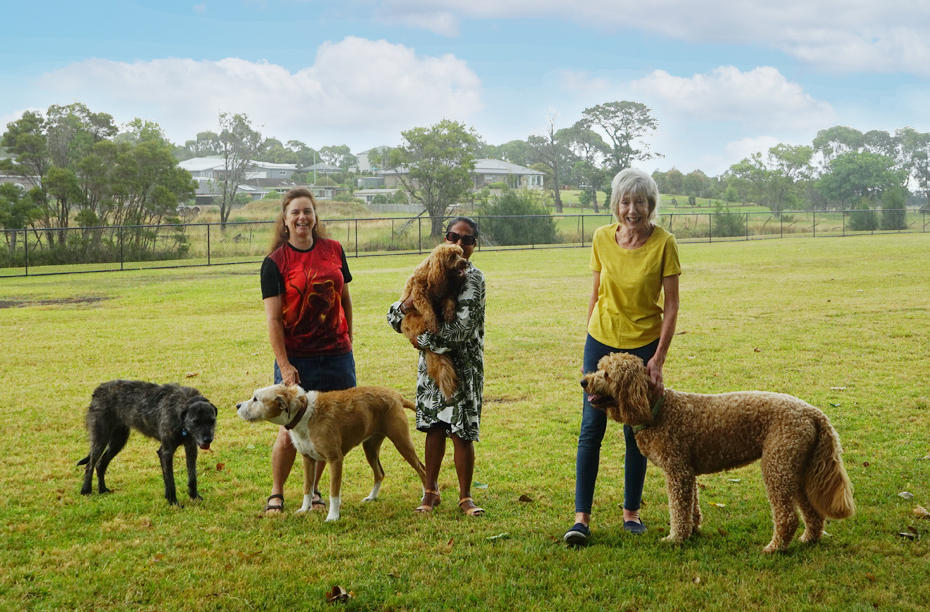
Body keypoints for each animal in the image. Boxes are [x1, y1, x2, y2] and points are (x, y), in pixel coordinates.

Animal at [79, 380, 218, 504]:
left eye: (212, 420)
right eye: (196, 422)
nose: (208, 439)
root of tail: (98, 390)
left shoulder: (191, 448)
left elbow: (192, 476)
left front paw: (194, 497)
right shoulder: (166, 452)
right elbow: (170, 480)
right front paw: (173, 501)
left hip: (117, 442)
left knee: (100, 464)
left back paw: (102, 490)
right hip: (100, 439)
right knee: (90, 464)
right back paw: (86, 490)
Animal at [237, 384, 430, 520]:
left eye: (256, 399)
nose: (238, 405)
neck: (304, 413)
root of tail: (396, 395)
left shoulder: (335, 460)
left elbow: (334, 493)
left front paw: (333, 516)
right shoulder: (308, 459)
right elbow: (307, 488)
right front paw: (304, 509)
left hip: (402, 442)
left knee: (422, 469)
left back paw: (424, 496)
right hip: (370, 448)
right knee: (380, 473)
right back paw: (371, 497)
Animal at [398, 241, 472, 400]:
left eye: (461, 254)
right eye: (452, 257)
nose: (465, 262)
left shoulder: (445, 293)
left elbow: (450, 301)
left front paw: (449, 314)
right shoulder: (419, 295)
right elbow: (428, 310)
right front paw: (433, 323)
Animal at [580, 352, 856, 552]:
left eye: (607, 374)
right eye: (599, 368)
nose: (584, 381)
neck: (657, 410)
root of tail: (814, 413)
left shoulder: (677, 471)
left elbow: (678, 509)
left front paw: (675, 538)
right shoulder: (687, 472)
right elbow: (691, 506)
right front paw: (692, 531)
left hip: (777, 466)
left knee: (787, 517)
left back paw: (775, 548)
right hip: (795, 469)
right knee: (813, 513)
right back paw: (809, 539)